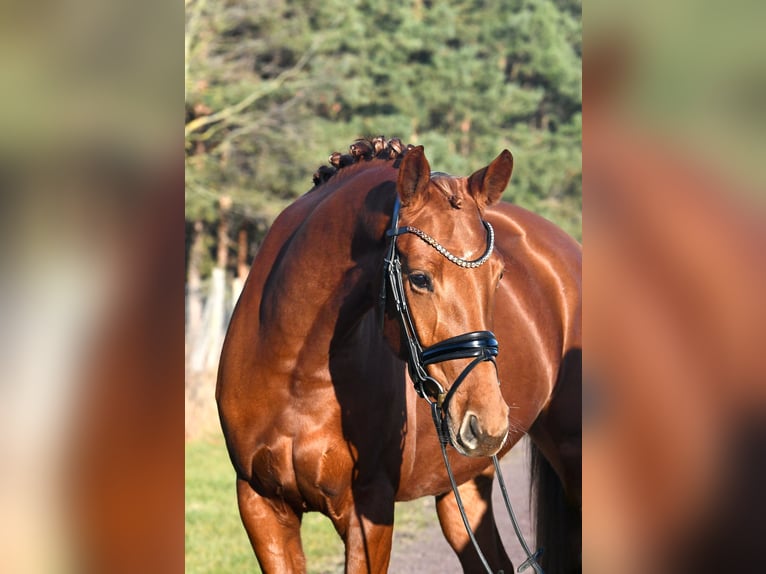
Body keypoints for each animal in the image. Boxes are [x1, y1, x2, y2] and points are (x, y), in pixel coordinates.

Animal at [216, 137, 581, 573]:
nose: (488, 423)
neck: (294, 371)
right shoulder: (261, 505)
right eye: (419, 278)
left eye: (499, 276)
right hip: (462, 486)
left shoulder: (369, 510)